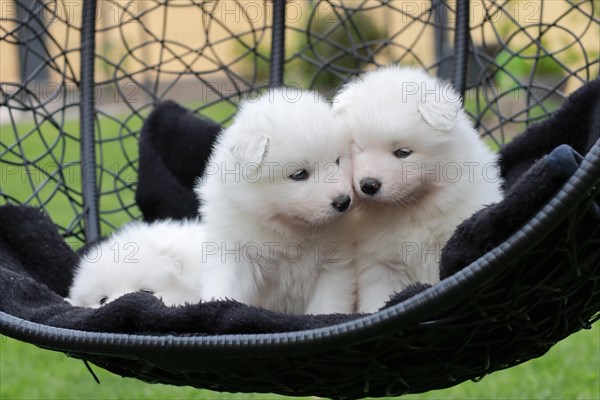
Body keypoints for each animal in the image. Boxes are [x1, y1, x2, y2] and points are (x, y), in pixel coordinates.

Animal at [196, 88, 356, 316]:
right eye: (299, 174)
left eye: (337, 161)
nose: (343, 201)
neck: (289, 230)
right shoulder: (235, 251)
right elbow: (227, 287)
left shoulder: (334, 265)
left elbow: (327, 306)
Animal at [336, 65, 504, 312]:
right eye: (358, 147)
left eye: (403, 153)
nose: (368, 184)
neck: (411, 208)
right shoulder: (379, 263)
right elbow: (378, 299)